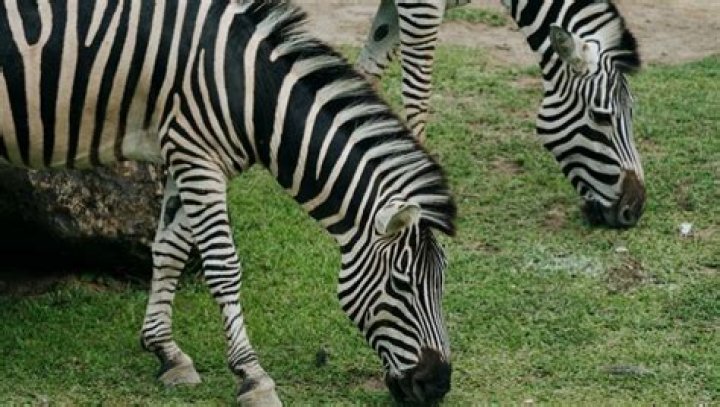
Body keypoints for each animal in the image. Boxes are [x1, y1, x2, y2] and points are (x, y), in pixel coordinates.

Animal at [0, 1, 456, 405]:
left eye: (441, 282)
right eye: (401, 285)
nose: (438, 385)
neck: (250, 89)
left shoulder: (184, 154)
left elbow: (169, 249)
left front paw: (166, 350)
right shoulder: (198, 158)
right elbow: (223, 267)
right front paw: (252, 376)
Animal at [354, 0, 646, 228]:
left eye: (633, 113)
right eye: (601, 117)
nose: (634, 210)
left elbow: (366, 75)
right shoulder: (420, 7)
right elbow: (418, 96)